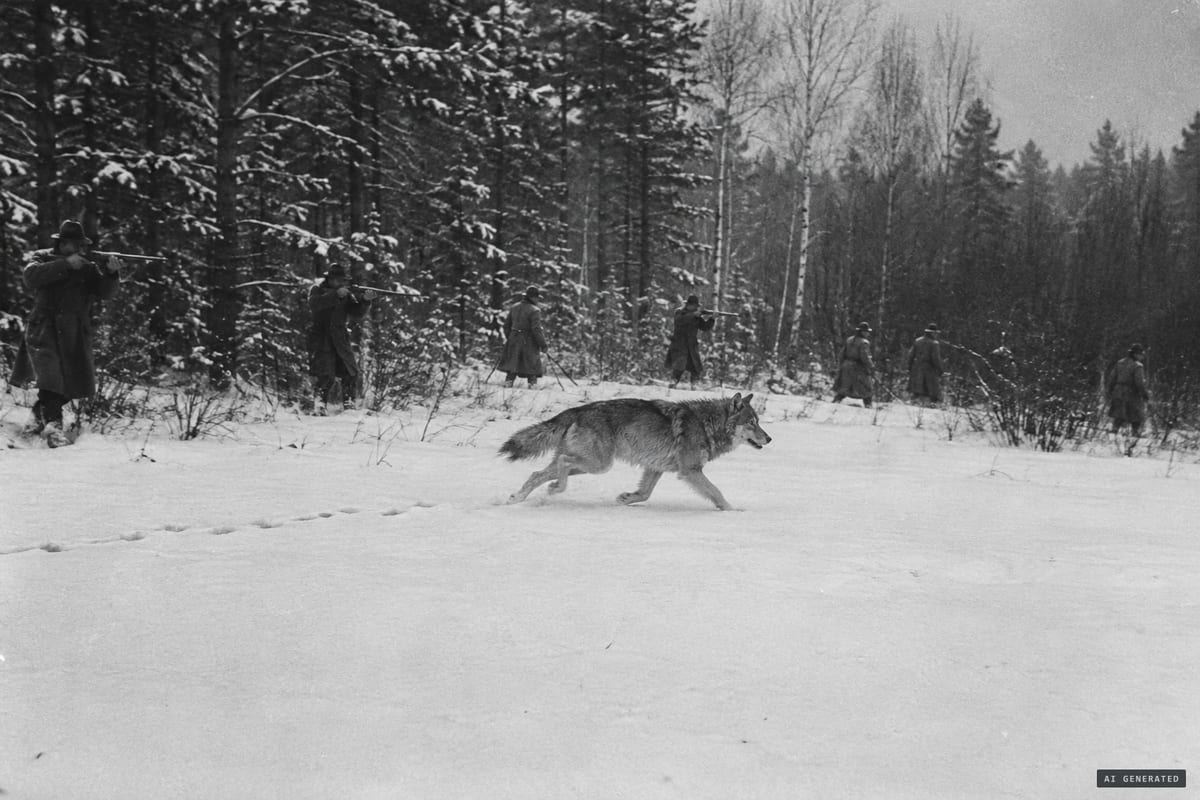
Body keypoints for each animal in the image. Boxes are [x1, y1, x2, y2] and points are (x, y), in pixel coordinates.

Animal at [499, 393, 771, 510]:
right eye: (752, 423)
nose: (769, 438)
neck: (707, 424)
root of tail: (577, 410)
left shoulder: (655, 468)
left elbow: (644, 493)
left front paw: (625, 499)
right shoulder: (690, 471)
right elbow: (716, 492)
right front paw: (732, 510)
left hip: (586, 465)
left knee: (537, 474)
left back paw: (516, 499)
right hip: (599, 464)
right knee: (562, 464)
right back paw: (555, 489)